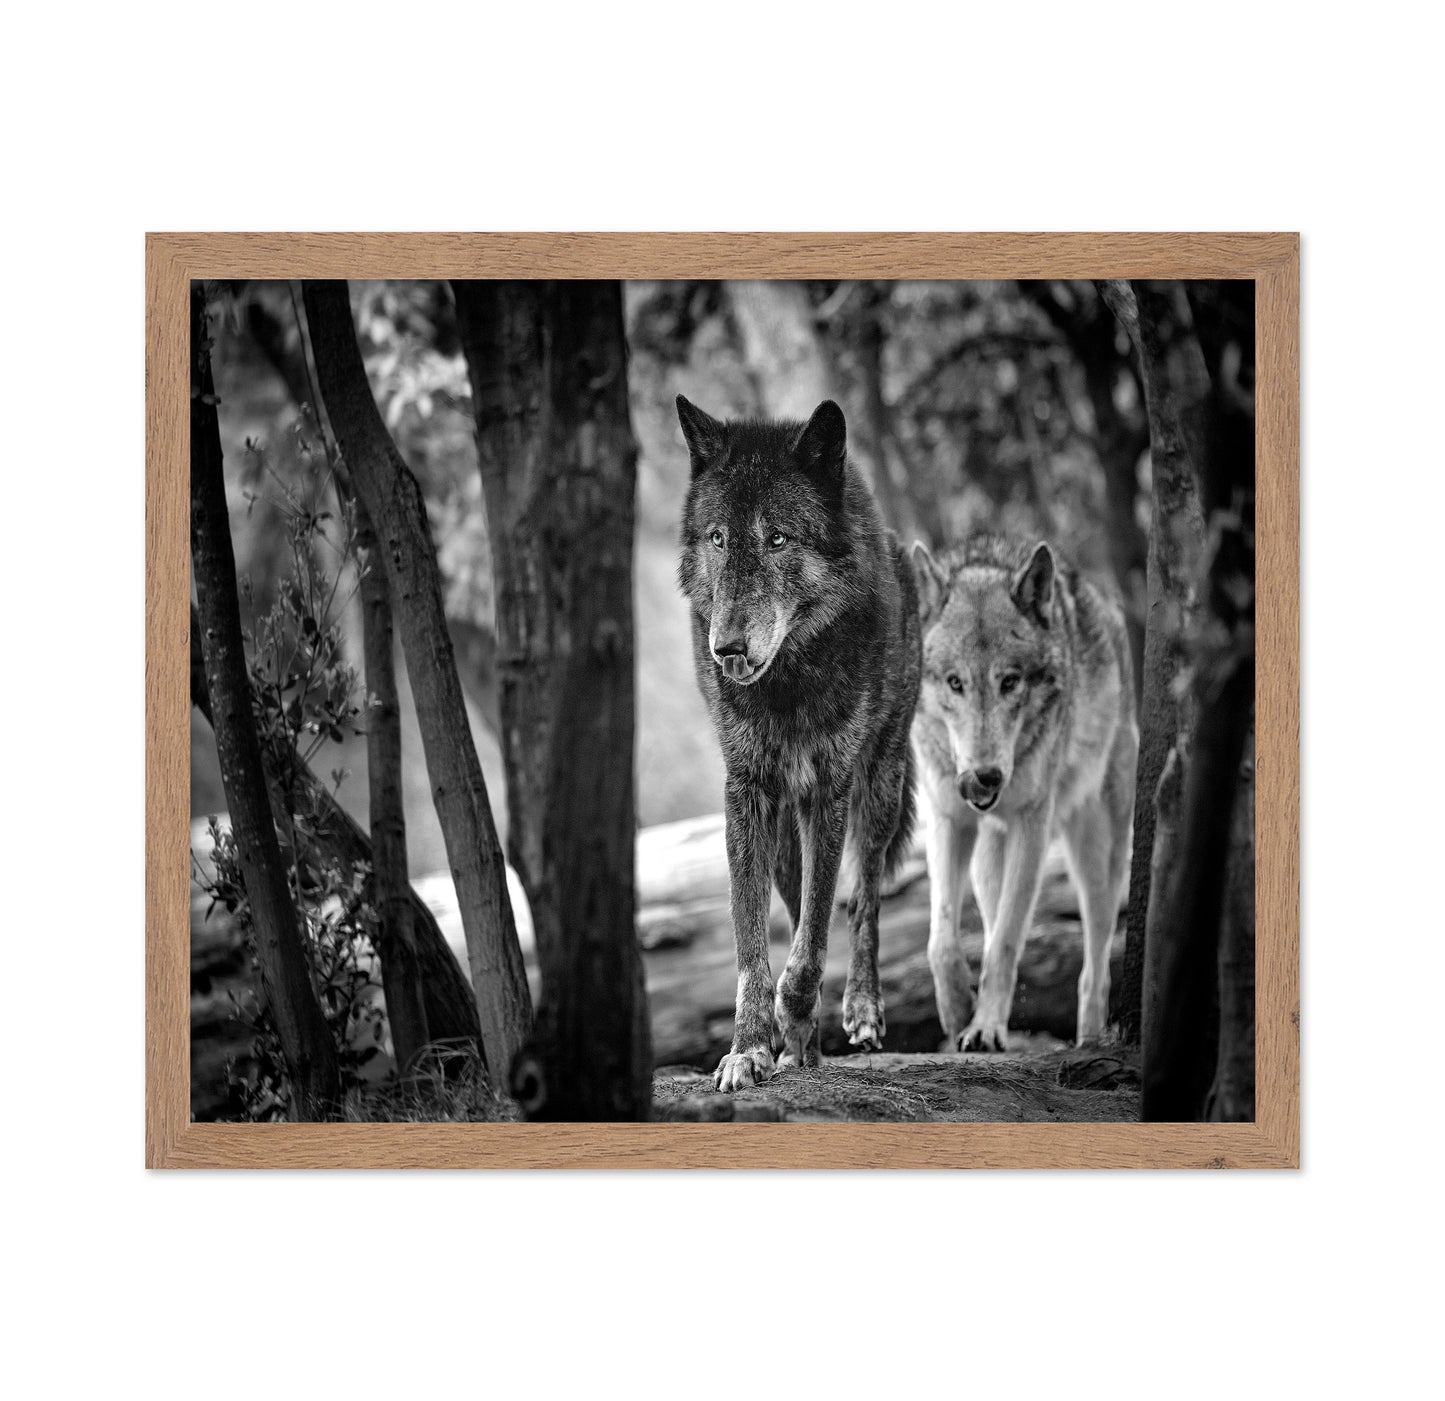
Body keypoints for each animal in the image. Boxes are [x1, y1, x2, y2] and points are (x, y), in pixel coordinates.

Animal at [676, 395, 921, 1091]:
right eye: (718, 538)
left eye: (777, 538)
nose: (726, 648)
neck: (785, 686)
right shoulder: (746, 791)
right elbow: (751, 942)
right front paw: (750, 1047)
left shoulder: (829, 791)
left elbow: (814, 937)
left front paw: (793, 1011)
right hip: (784, 830)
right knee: (793, 904)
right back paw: (800, 1046)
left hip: (880, 784)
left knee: (863, 899)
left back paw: (859, 1009)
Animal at [910, 533, 1138, 1051]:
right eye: (955, 683)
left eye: (1010, 681)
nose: (985, 778)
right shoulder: (946, 819)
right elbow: (941, 940)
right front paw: (959, 1012)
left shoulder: (1031, 825)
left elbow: (1007, 941)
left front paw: (986, 1026)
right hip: (986, 861)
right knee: (990, 917)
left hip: (1096, 855)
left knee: (1095, 966)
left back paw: (1090, 1040)